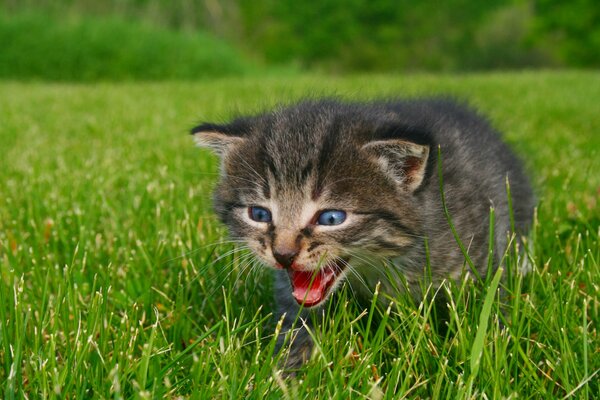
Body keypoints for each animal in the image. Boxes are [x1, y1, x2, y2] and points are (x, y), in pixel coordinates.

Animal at [192, 99, 536, 368]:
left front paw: (493, 348)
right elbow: (298, 324)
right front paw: (288, 373)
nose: (283, 254)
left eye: (331, 217)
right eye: (259, 214)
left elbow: (490, 306)